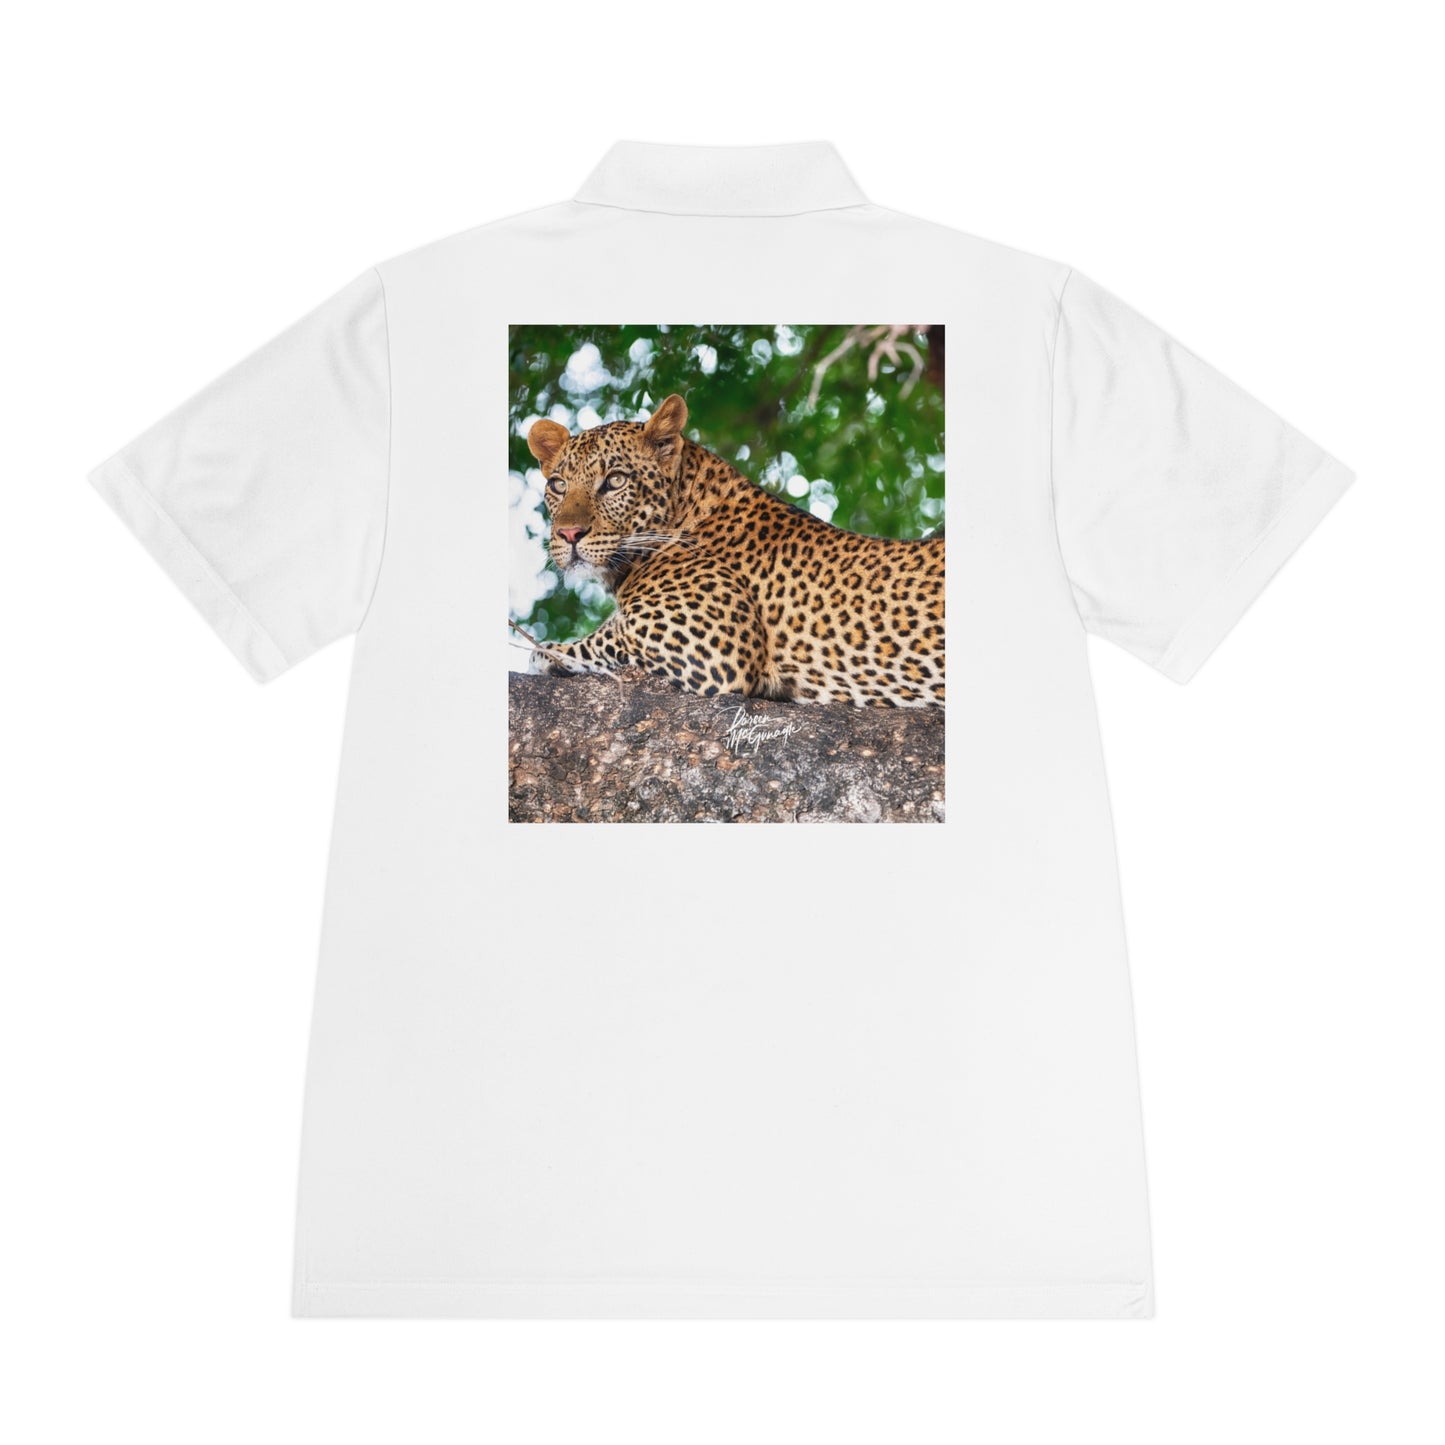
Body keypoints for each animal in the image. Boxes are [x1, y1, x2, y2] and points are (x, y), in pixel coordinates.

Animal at [524, 394, 944, 707]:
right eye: (559, 485)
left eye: (614, 480)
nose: (569, 533)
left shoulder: (707, 645)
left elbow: (604, 639)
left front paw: (547, 651)